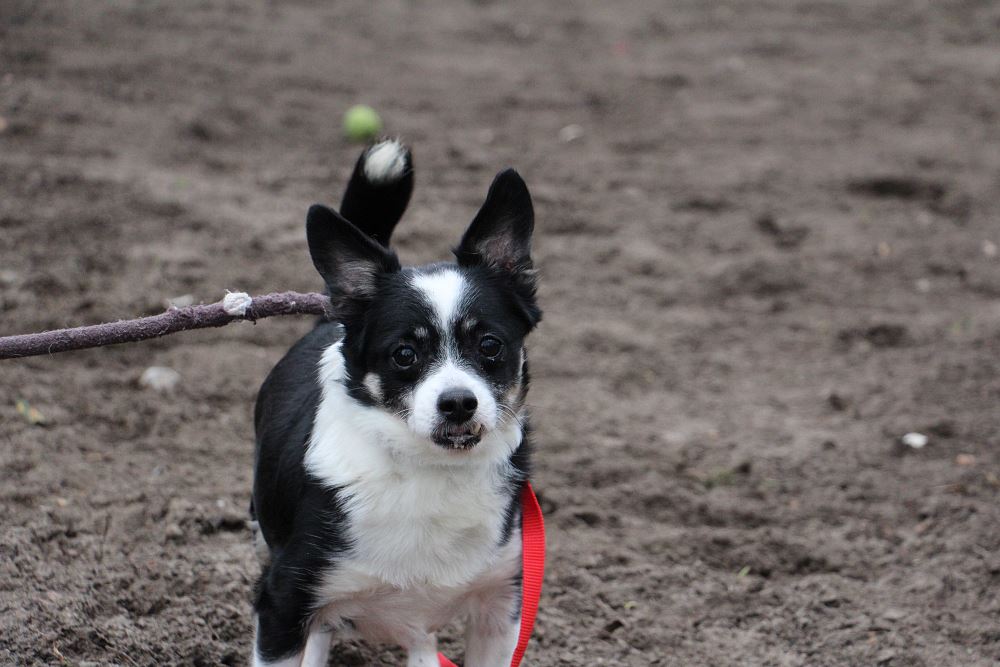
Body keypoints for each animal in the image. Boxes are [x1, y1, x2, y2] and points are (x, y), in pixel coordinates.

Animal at [250, 139, 541, 667]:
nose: (458, 403)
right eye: (405, 354)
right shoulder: (282, 602)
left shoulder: (501, 607)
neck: (430, 471)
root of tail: (333, 314)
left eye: (490, 345)